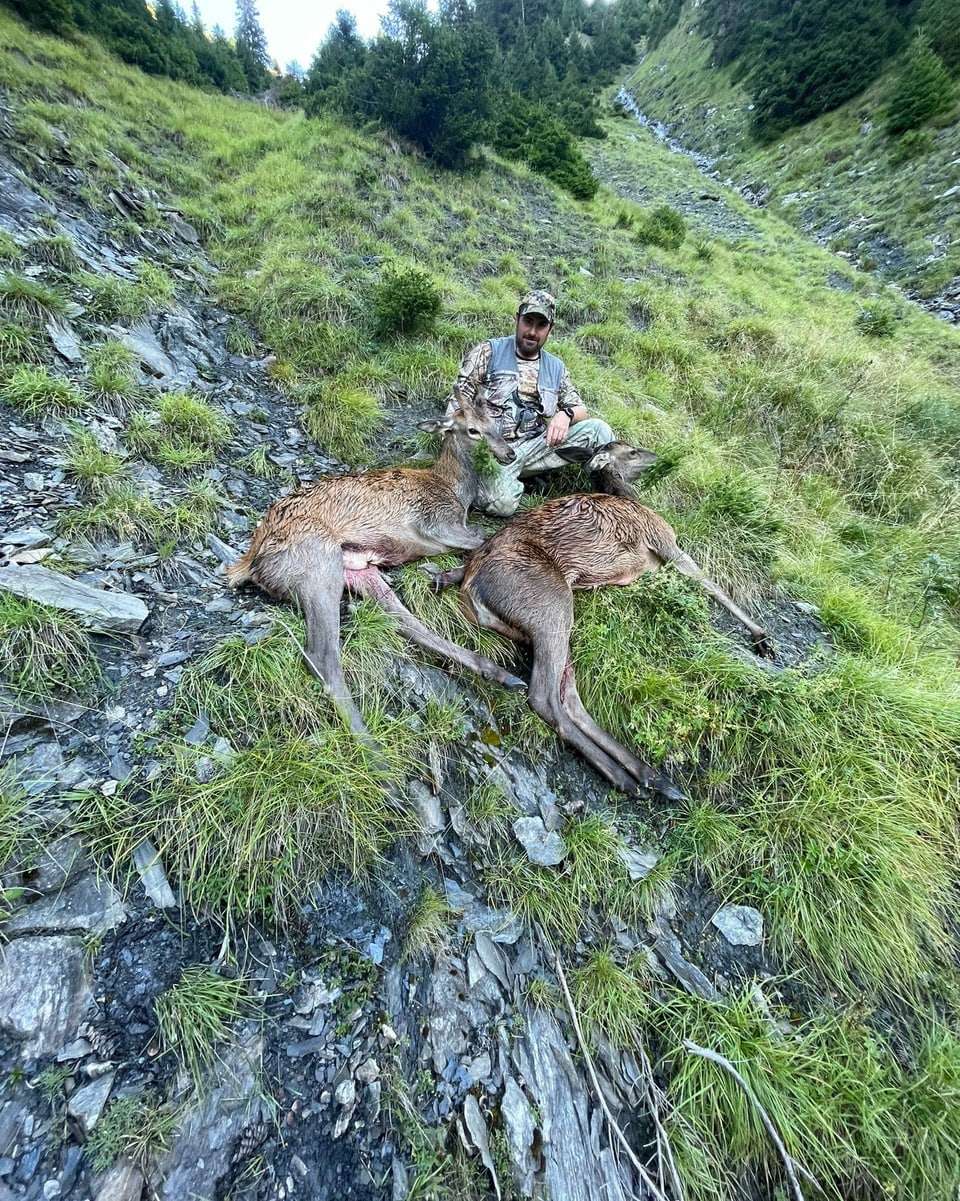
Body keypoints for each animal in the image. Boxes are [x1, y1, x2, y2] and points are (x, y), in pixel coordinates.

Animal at [225, 398, 526, 735]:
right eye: (473, 429)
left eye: (496, 424)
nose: (509, 454)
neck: (456, 492)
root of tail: (248, 563)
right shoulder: (438, 523)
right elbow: (485, 539)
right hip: (316, 562)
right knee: (322, 656)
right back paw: (369, 743)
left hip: (359, 571)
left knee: (406, 624)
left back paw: (502, 675)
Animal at [434, 441, 773, 797]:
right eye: (633, 451)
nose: (659, 457)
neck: (630, 498)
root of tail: (471, 587)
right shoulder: (665, 541)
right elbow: (711, 584)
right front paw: (762, 639)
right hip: (551, 606)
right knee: (543, 696)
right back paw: (628, 778)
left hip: (545, 623)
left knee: (569, 697)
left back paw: (651, 776)